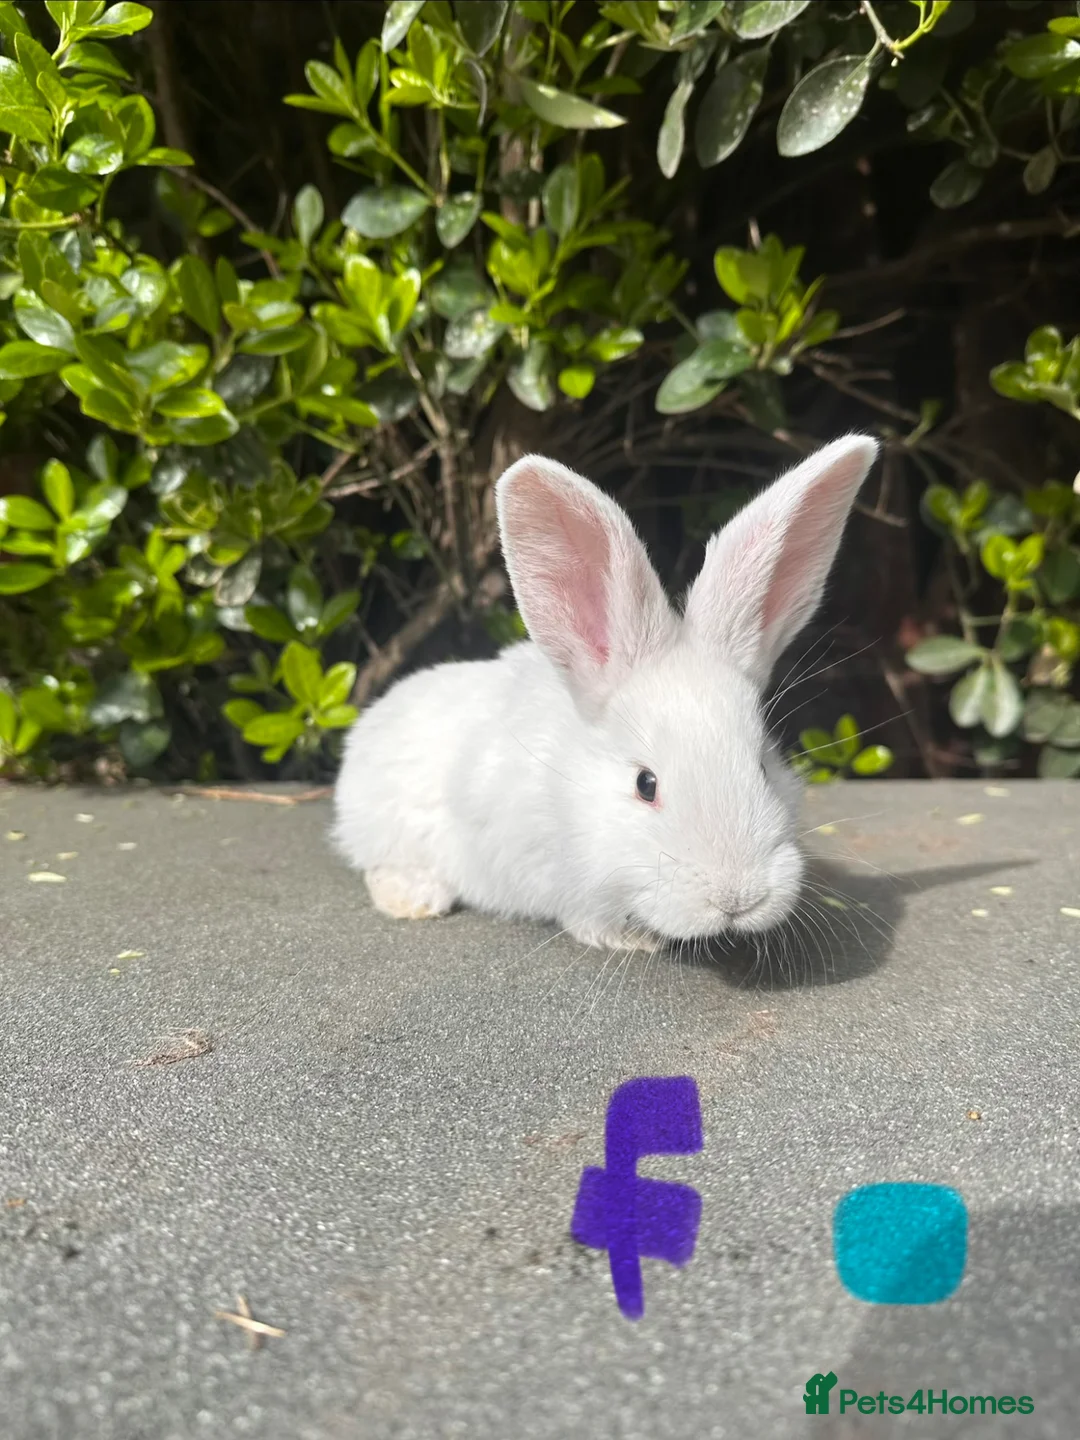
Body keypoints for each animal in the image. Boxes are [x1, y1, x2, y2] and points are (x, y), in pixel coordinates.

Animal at [332, 433, 879, 951]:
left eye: (763, 767)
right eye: (645, 784)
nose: (736, 900)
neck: (567, 785)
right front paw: (632, 940)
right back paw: (413, 898)